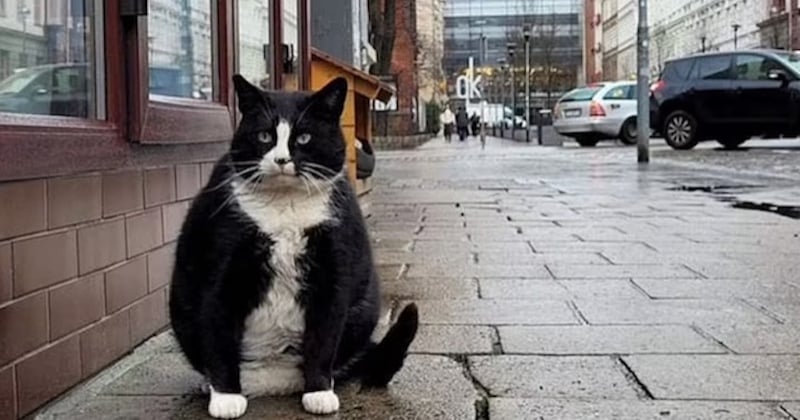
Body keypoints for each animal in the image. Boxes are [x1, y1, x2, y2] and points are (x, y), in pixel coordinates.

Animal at [169, 77, 418, 418]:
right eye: (264, 136)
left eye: (303, 137)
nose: (281, 160)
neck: (285, 207)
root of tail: (272, 381)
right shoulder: (222, 263)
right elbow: (217, 328)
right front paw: (226, 397)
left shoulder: (333, 267)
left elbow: (324, 336)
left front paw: (319, 392)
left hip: (364, 309)